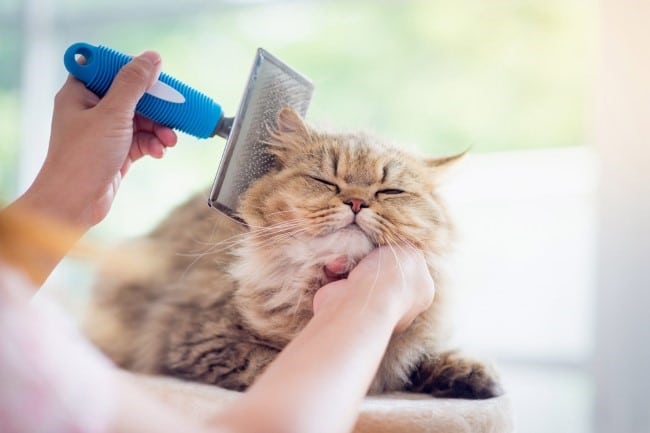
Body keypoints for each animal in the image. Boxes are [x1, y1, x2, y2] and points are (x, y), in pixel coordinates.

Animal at [86, 107, 502, 398]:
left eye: (389, 192)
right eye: (325, 182)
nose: (356, 202)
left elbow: (423, 356)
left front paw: (471, 375)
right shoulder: (198, 339)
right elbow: (270, 363)